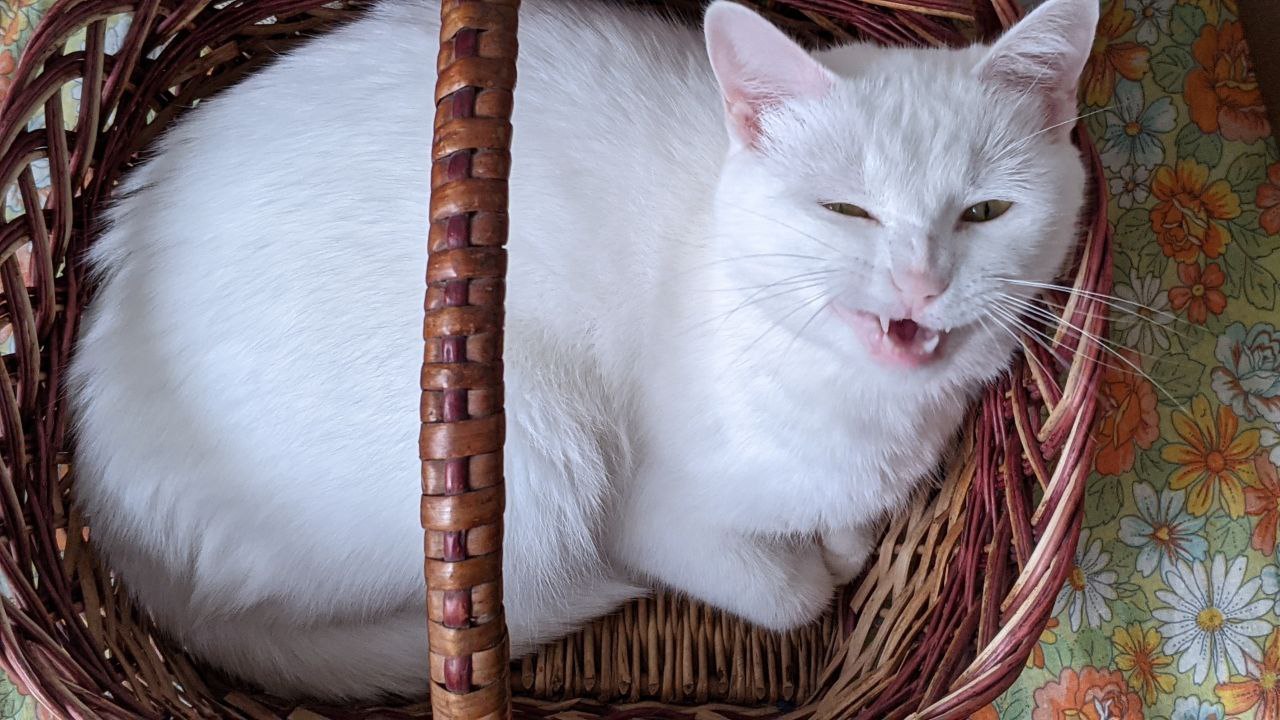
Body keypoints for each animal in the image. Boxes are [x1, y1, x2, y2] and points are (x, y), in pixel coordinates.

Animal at [64, 0, 1095, 702]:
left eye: (987, 211)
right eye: (846, 209)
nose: (921, 281)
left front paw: (847, 534)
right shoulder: (652, 512)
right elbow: (789, 590)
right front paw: (820, 562)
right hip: (543, 446)